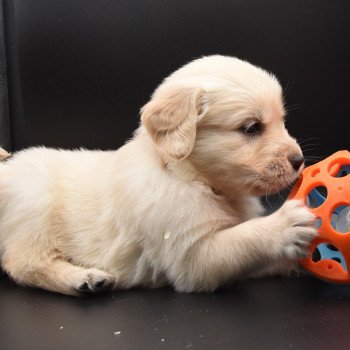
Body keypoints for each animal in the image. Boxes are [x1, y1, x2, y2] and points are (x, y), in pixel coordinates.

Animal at [0, 55, 318, 296]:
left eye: (282, 121)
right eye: (251, 127)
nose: (299, 161)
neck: (189, 176)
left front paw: (292, 262)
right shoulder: (191, 255)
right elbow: (241, 240)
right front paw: (282, 226)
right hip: (35, 208)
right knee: (24, 264)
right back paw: (84, 280)